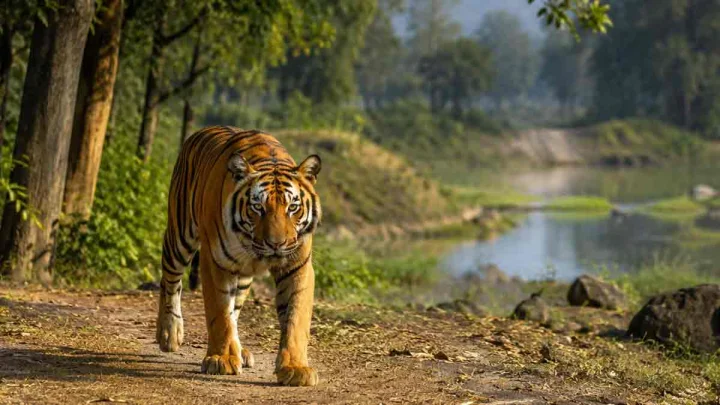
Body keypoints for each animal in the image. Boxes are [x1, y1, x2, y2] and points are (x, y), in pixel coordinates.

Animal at [156, 126, 322, 386]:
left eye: (292, 208)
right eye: (258, 207)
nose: (276, 244)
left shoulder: (298, 266)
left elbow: (296, 319)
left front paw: (296, 368)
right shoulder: (214, 262)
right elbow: (219, 314)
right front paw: (221, 360)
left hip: (243, 275)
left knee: (235, 307)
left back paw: (239, 351)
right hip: (180, 234)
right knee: (170, 281)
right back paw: (168, 334)